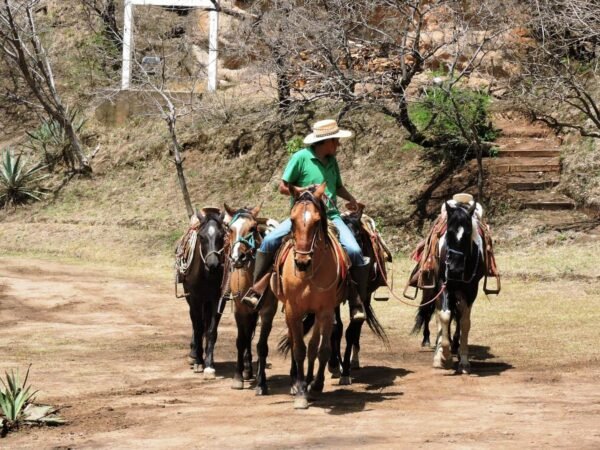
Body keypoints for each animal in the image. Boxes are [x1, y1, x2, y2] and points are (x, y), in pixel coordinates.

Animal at [274, 184, 344, 412]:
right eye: (292, 220)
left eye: (316, 221)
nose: (302, 262)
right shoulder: (292, 310)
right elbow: (298, 349)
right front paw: (300, 391)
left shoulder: (325, 310)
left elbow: (320, 349)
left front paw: (316, 384)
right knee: (294, 341)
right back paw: (295, 381)